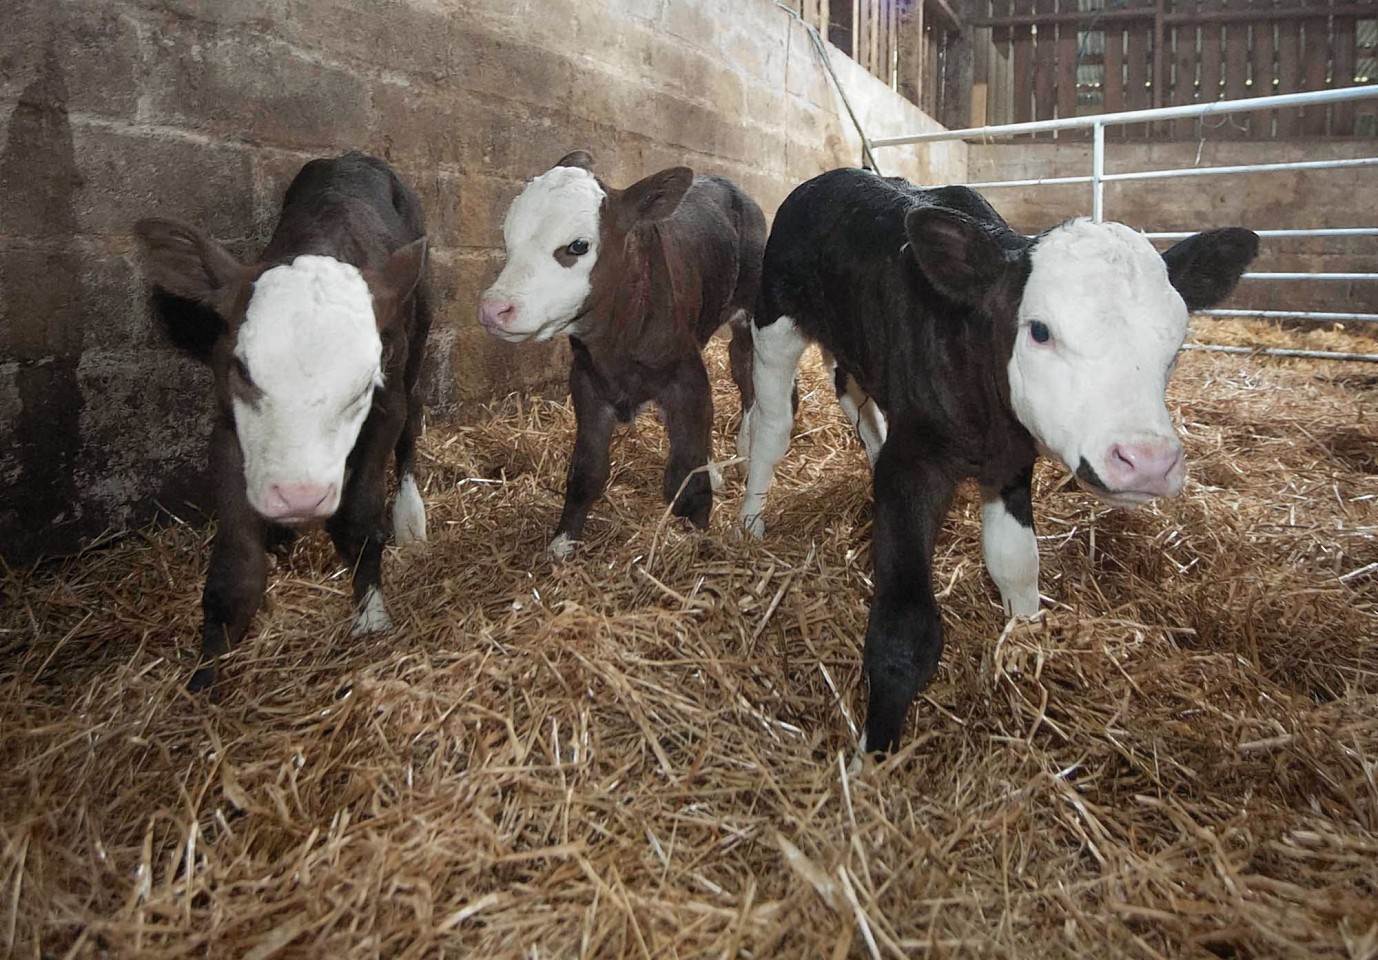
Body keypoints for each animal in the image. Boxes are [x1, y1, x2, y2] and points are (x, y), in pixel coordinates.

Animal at [135, 151, 429, 688]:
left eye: (362, 384)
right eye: (242, 369)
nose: (298, 496)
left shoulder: (387, 399)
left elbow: (361, 518)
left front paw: (372, 616)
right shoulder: (227, 426)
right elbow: (235, 571)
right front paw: (204, 679)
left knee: (413, 421)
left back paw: (408, 514)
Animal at [479, 148, 771, 553]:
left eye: (578, 246)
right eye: (508, 239)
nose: (493, 308)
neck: (616, 345)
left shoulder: (685, 376)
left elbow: (685, 472)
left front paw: (698, 533)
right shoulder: (587, 383)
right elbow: (587, 469)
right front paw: (562, 542)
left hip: (750, 311)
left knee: (745, 372)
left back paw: (745, 447)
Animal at [744, 168, 1262, 754]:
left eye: (1175, 343)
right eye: (1039, 330)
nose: (1148, 461)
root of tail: (830, 176)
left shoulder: (1011, 461)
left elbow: (1016, 563)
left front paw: (1027, 646)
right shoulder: (912, 463)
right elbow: (905, 628)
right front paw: (874, 754)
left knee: (855, 402)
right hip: (774, 320)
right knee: (771, 425)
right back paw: (750, 520)